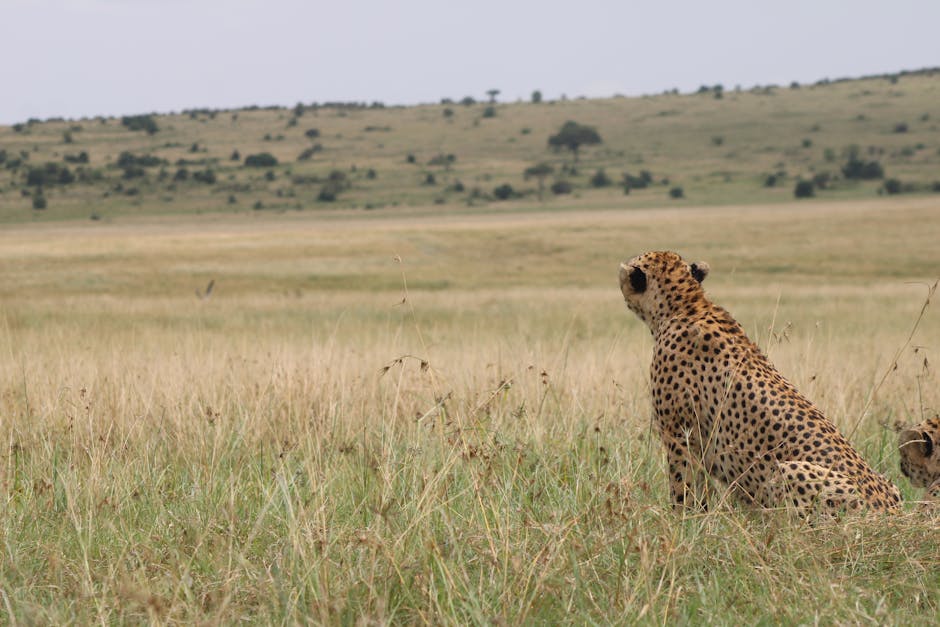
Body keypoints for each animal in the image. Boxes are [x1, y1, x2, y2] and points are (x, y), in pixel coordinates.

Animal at [619, 250, 901, 514]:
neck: (686, 303)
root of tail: (890, 512)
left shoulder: (680, 434)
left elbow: (683, 487)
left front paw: (683, 521)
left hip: (789, 471)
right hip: (893, 485)